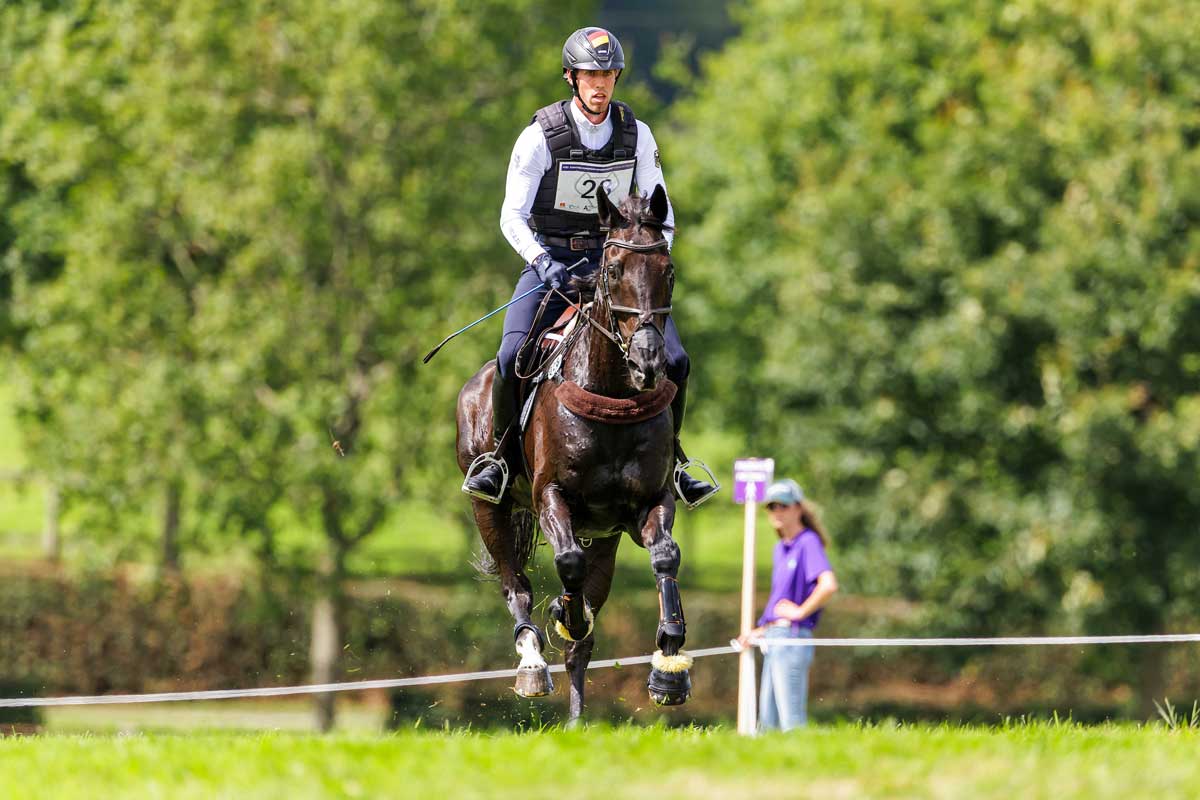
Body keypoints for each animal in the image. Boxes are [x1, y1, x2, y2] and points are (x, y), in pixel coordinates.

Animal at [453, 184, 691, 724]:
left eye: (667, 270)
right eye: (613, 270)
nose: (648, 361)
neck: (613, 394)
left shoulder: (651, 501)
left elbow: (665, 555)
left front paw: (669, 661)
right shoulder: (551, 497)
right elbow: (566, 563)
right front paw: (567, 612)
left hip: (603, 535)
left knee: (582, 641)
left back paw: (578, 718)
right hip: (489, 506)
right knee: (515, 584)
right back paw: (532, 663)